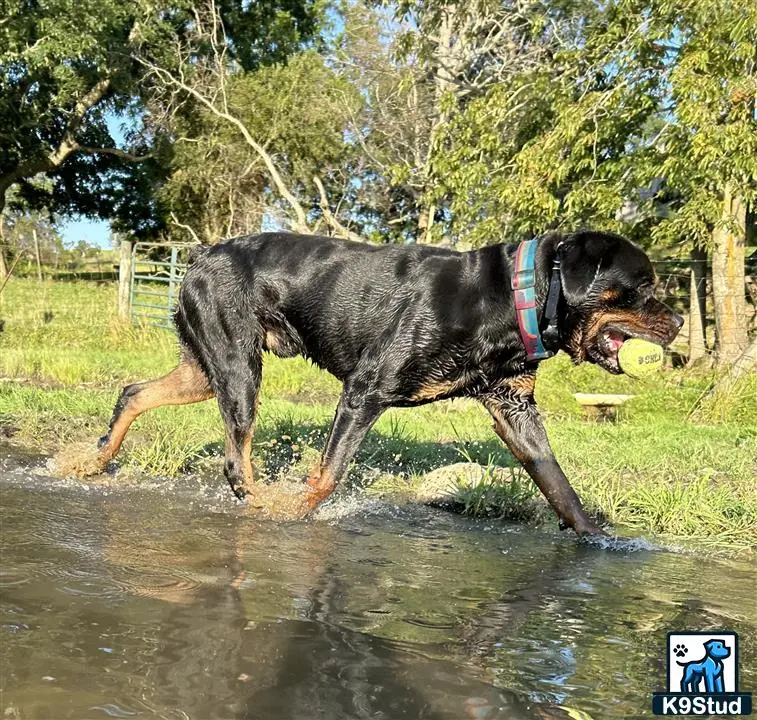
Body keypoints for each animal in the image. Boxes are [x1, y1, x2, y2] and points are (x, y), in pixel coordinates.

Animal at [93, 231, 680, 536]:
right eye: (642, 288)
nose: (677, 323)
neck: (517, 298)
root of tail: (197, 257)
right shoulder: (365, 390)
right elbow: (327, 477)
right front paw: (292, 511)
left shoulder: (513, 407)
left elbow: (560, 487)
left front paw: (599, 543)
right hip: (238, 365)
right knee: (236, 458)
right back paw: (258, 503)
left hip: (205, 366)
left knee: (134, 393)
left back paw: (92, 461)